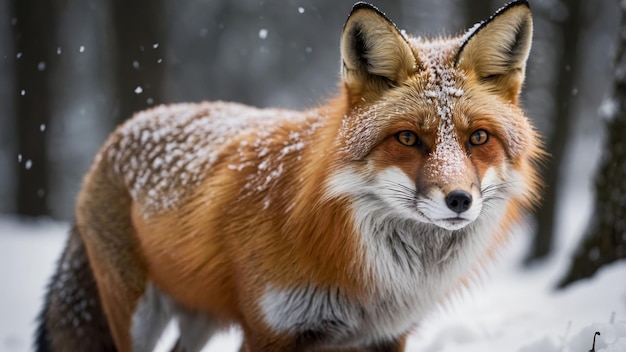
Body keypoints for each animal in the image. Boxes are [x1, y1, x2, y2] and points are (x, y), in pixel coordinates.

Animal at [35, 1, 540, 350]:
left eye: (478, 138)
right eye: (408, 138)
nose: (459, 200)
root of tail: (125, 127)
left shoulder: (384, 336)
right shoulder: (270, 330)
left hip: (199, 318)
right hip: (136, 317)